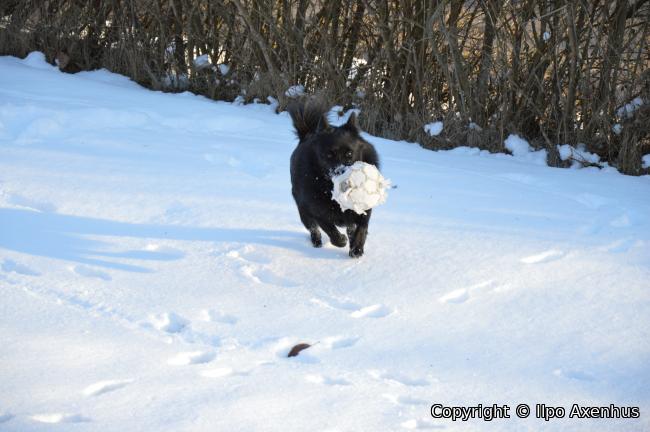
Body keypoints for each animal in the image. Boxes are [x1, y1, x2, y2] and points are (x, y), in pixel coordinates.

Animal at [288, 98, 380, 258]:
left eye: (349, 154)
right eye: (329, 155)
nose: (340, 173)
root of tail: (306, 135)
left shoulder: (364, 207)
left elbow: (362, 226)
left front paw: (357, 248)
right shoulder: (315, 208)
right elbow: (328, 227)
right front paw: (341, 240)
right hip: (303, 210)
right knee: (313, 227)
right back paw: (317, 241)